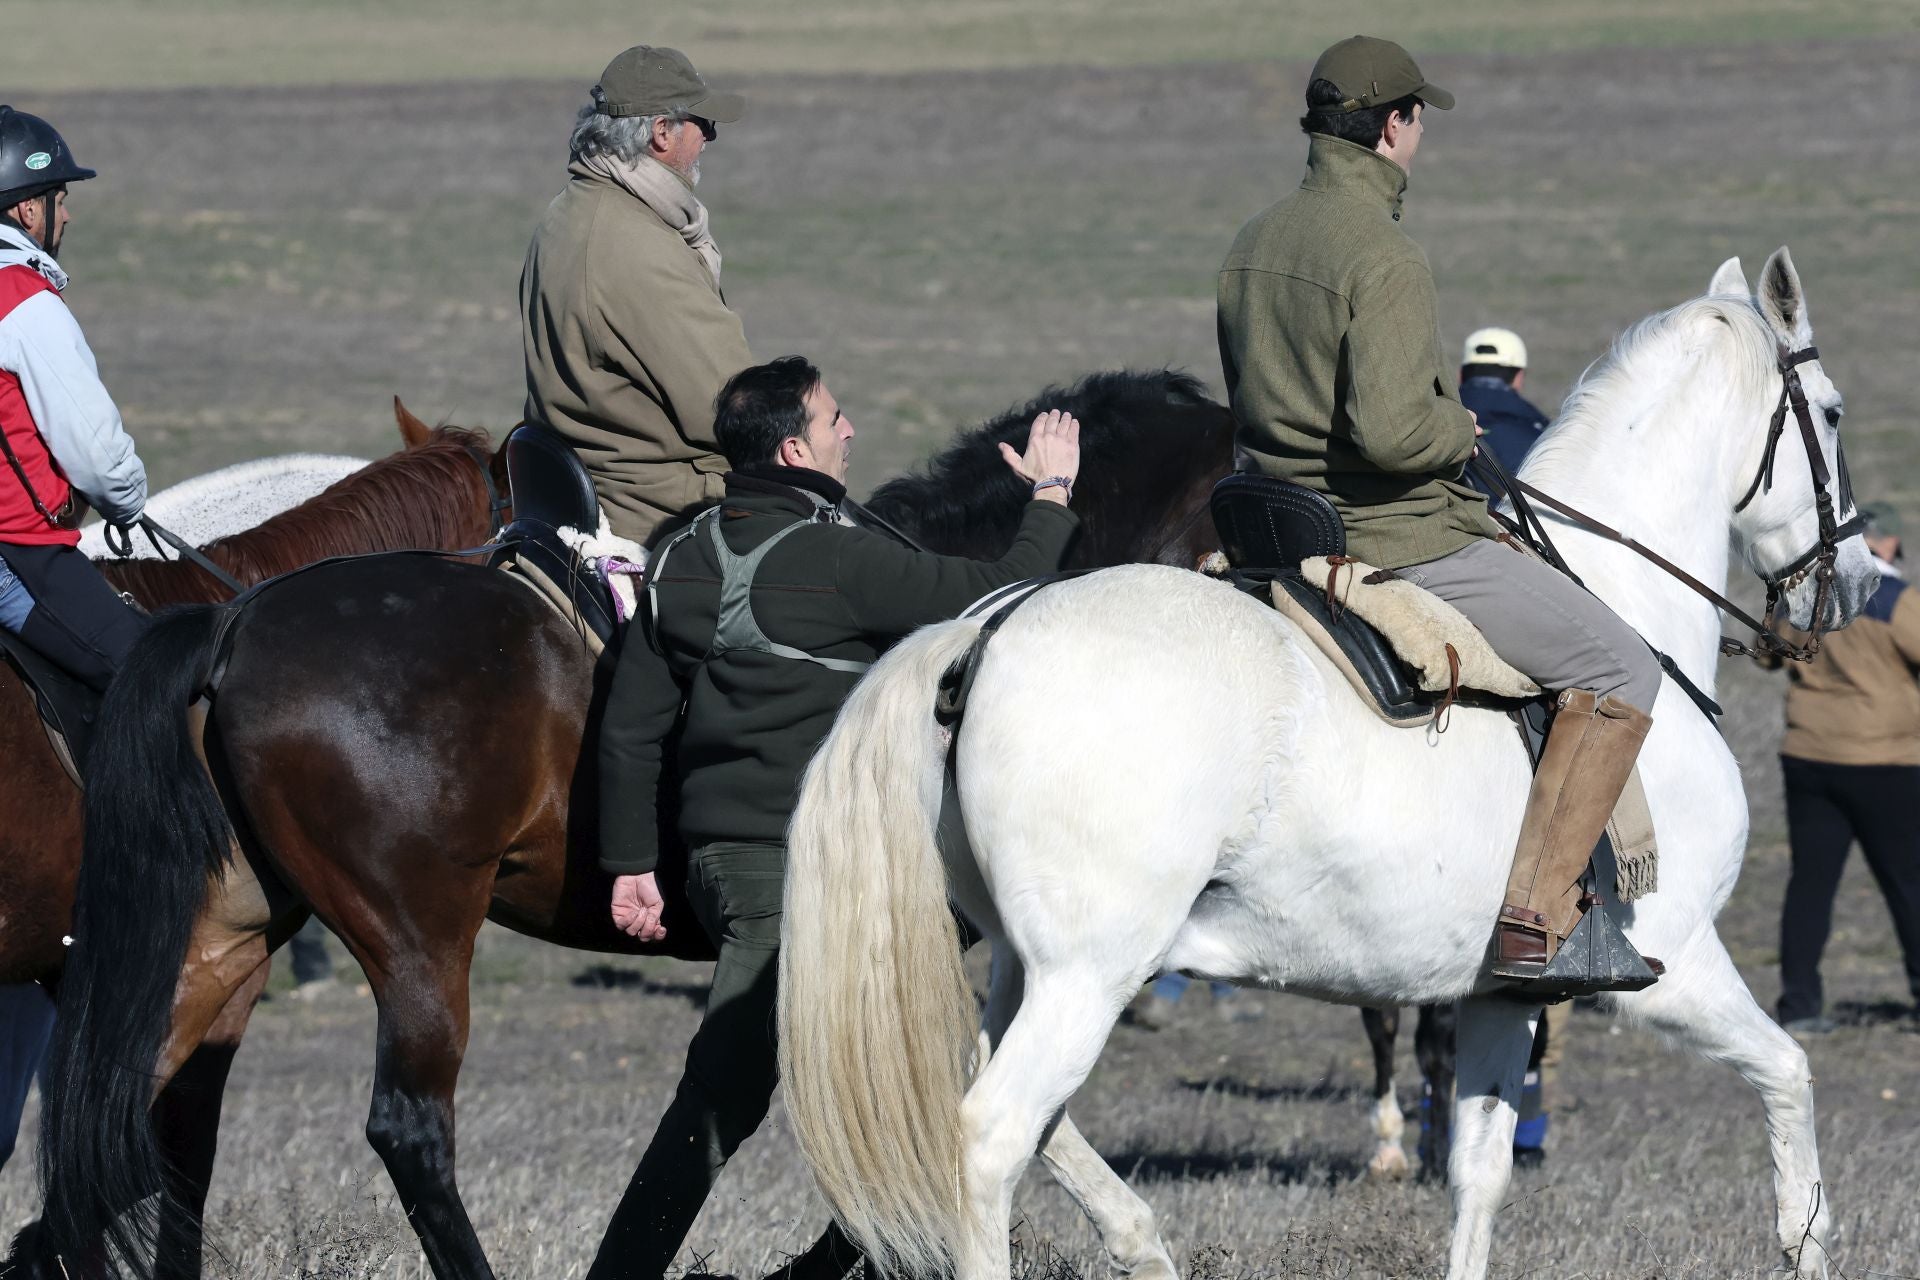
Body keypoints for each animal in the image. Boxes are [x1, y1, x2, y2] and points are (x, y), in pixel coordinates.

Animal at [768, 249, 1873, 1280]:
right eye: (1830, 412)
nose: (1860, 582)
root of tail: (988, 624)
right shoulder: (1672, 959)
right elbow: (1790, 1074)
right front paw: (1807, 1243)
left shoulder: (1498, 992)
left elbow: (1478, 1172)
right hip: (1090, 970)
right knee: (996, 1132)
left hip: (1023, 962)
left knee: (1022, 1109)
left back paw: (1141, 1241)